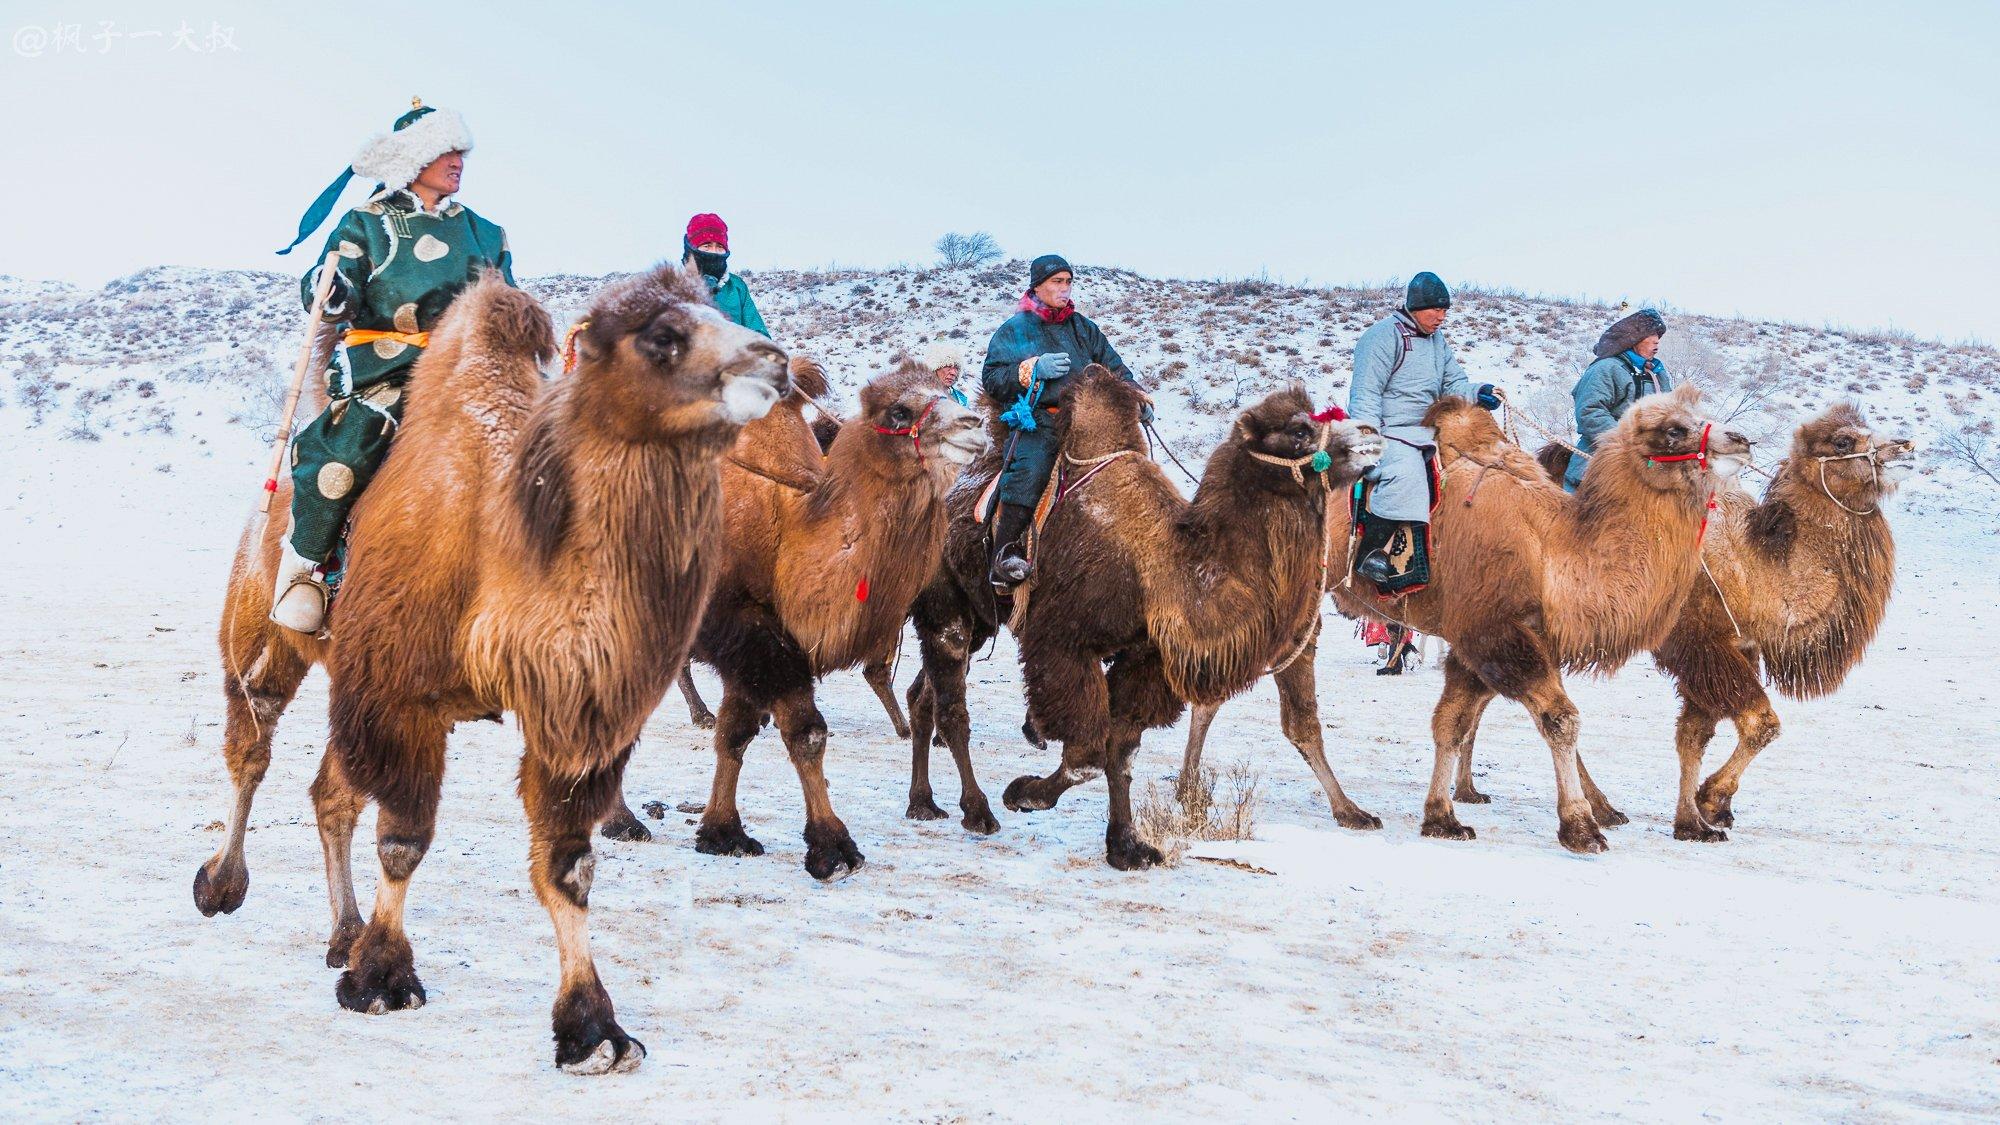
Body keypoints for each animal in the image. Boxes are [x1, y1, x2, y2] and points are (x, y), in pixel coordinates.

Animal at [193, 266, 788, 1072]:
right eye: (662, 335)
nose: (774, 363)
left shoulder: (565, 716)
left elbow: (569, 865)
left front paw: (594, 1030)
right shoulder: (402, 695)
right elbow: (404, 841)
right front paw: (384, 980)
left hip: (351, 675)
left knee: (329, 793)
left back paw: (343, 933)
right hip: (266, 623)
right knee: (251, 736)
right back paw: (221, 884)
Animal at [608, 356, 984, 876]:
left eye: (945, 390)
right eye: (898, 410)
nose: (974, 424)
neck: (791, 535)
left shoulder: (761, 648)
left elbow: (736, 732)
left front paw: (722, 832)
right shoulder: (753, 632)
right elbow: (807, 733)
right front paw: (833, 847)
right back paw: (620, 820)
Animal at [912, 364, 1392, 860]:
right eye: (1299, 429)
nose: (1371, 433)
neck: (1165, 568)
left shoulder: (1145, 656)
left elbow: (1120, 750)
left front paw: (1127, 846)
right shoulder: (1063, 642)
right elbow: (1088, 755)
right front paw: (1023, 793)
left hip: (979, 619)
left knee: (922, 696)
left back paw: (924, 804)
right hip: (947, 604)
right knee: (953, 709)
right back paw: (977, 811)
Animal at [1328, 382, 1752, 848]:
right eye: (1674, 429)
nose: (1741, 440)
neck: (1548, 550)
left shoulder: (1482, 639)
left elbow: (1451, 723)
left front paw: (1442, 817)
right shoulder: (1494, 633)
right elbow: (1561, 719)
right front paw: (1581, 827)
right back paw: (1348, 810)